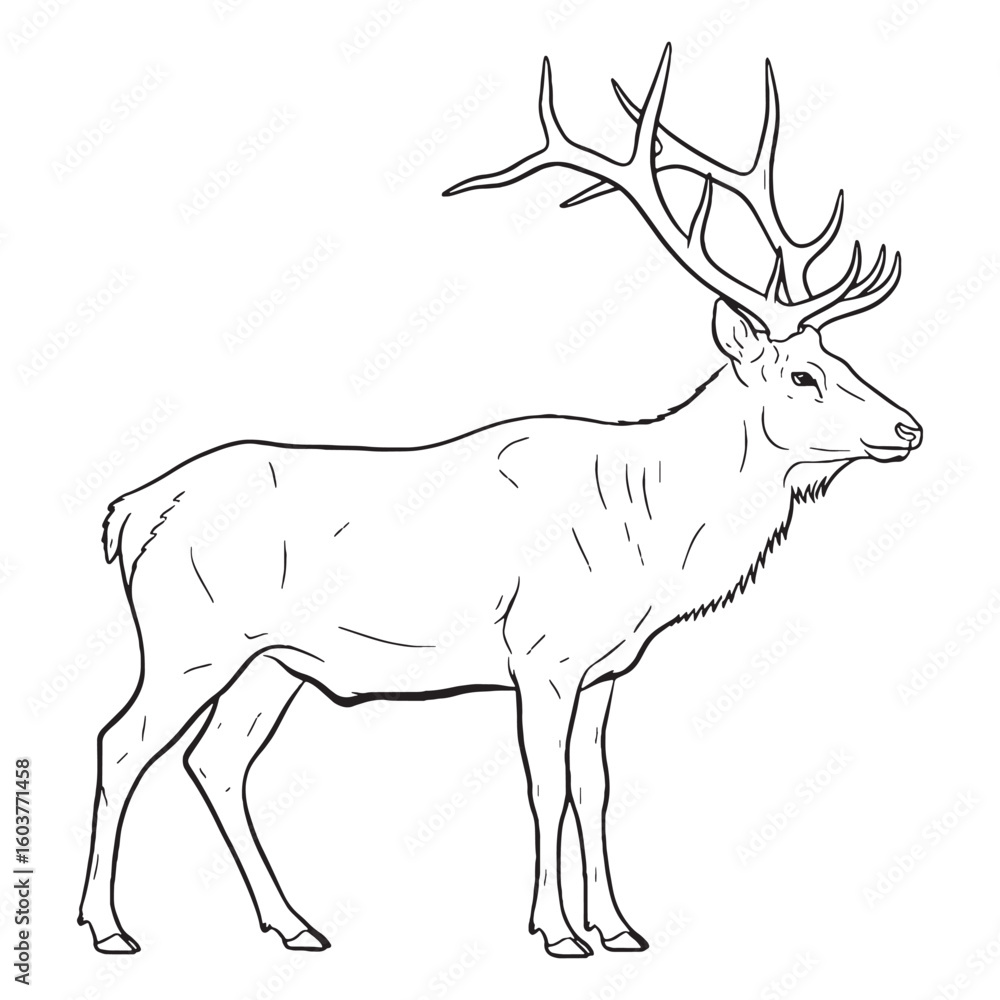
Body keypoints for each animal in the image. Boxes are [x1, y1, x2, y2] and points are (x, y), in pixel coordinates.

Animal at [79, 42, 922, 959]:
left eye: (846, 360)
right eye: (803, 375)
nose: (910, 429)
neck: (653, 536)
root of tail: (129, 511)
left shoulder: (604, 666)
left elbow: (593, 786)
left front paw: (619, 927)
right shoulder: (541, 652)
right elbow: (544, 788)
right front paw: (556, 931)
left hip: (272, 660)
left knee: (217, 760)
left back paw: (294, 924)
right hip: (189, 639)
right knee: (122, 742)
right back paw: (107, 926)